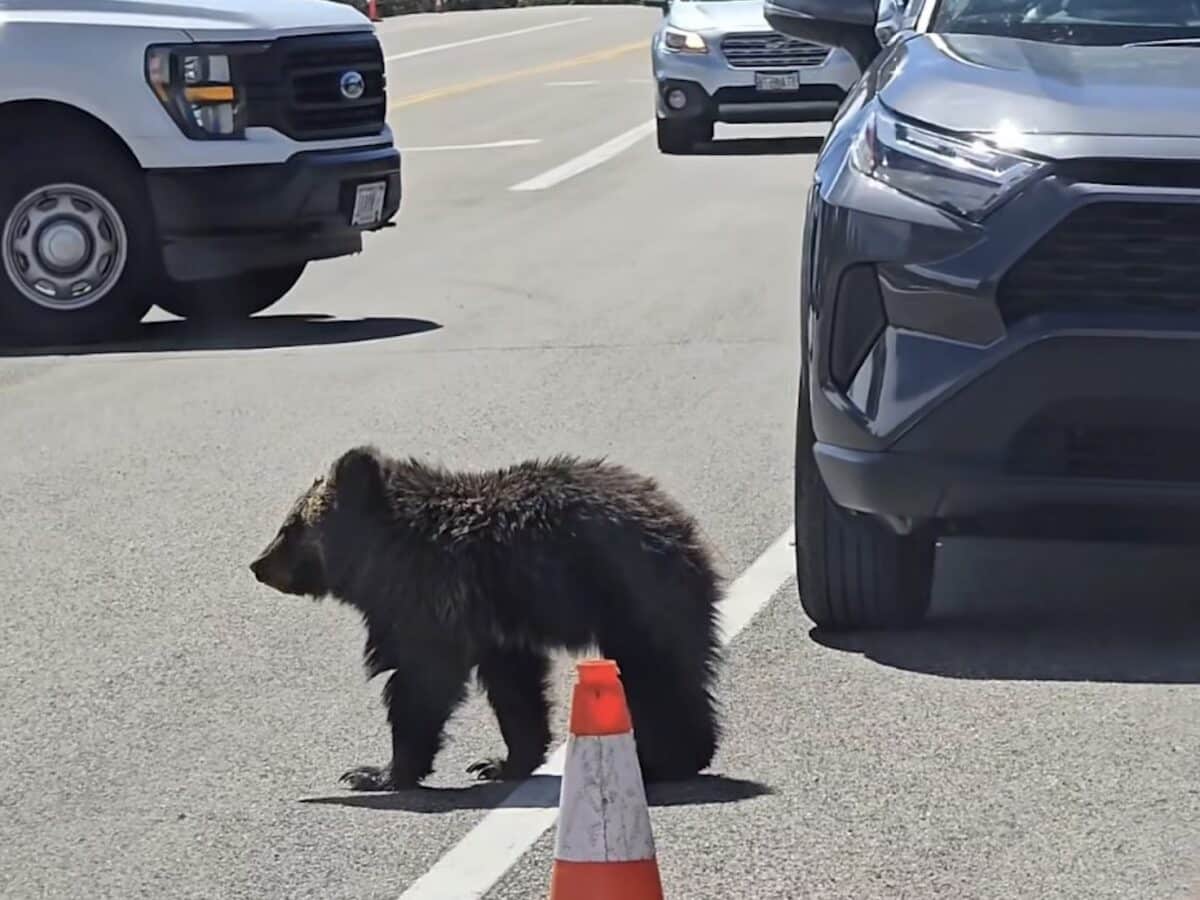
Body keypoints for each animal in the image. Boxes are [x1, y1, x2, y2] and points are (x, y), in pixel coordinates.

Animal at [249, 445, 724, 791]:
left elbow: (421, 682)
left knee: (656, 674)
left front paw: (376, 772)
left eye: (290, 526)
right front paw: (501, 761)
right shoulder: (494, 624)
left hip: (633, 595)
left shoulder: (433, 598)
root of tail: (681, 523)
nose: (257, 565)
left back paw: (667, 758)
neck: (381, 559)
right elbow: (514, 689)